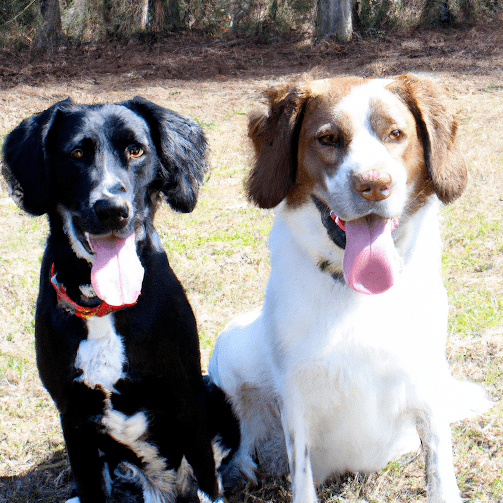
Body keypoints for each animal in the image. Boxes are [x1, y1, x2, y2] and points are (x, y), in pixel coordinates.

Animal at [3, 96, 240, 502]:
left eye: (136, 150)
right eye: (77, 153)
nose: (112, 209)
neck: (103, 307)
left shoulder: (188, 399)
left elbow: (209, 480)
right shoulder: (73, 417)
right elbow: (91, 486)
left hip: (216, 398)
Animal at [209, 76, 492, 503]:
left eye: (396, 134)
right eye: (328, 138)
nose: (374, 185)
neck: (357, 293)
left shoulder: (428, 377)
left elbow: (439, 463)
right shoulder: (295, 396)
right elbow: (300, 473)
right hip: (228, 350)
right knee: (243, 431)